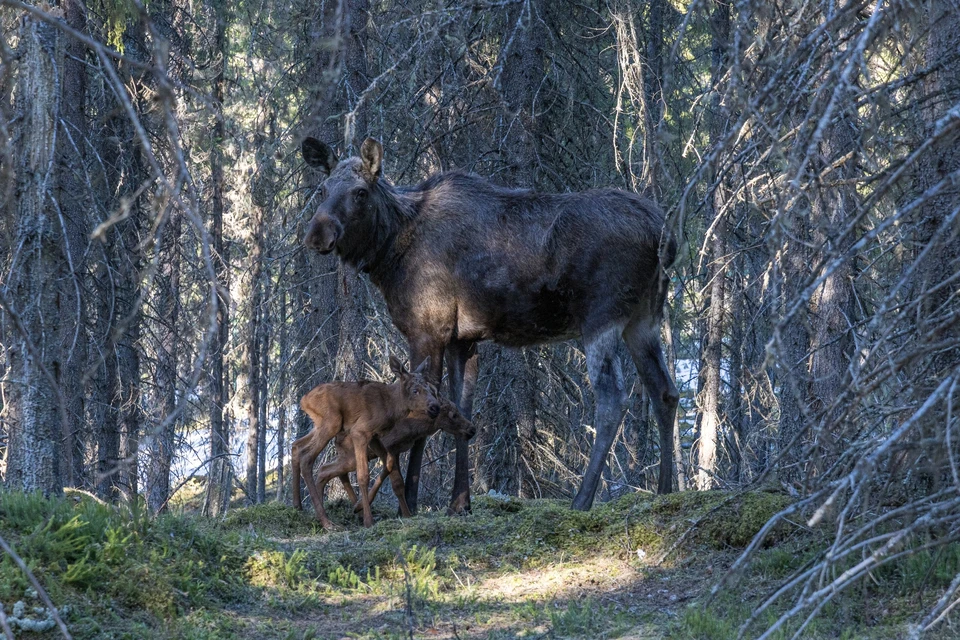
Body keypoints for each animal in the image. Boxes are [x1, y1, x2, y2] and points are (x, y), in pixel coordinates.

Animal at [290, 356, 440, 528]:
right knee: (307, 457)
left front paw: (360, 506)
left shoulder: (374, 436)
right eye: (415, 390)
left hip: (320, 424)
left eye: (431, 389)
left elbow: (389, 463)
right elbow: (363, 476)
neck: (391, 407)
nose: (435, 407)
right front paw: (368, 520)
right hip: (333, 422)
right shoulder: (360, 432)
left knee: (297, 446)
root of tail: (303, 400)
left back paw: (298, 506)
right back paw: (326, 521)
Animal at [304, 136, 680, 516]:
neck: (390, 251)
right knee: (665, 391)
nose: (317, 234)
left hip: (601, 317)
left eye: (360, 192)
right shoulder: (463, 340)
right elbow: (462, 410)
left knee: (613, 398)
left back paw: (582, 500)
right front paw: (460, 502)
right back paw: (666, 490)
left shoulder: (428, 330)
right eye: (321, 189)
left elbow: (424, 419)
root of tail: (663, 232)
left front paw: (407, 504)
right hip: (644, 319)